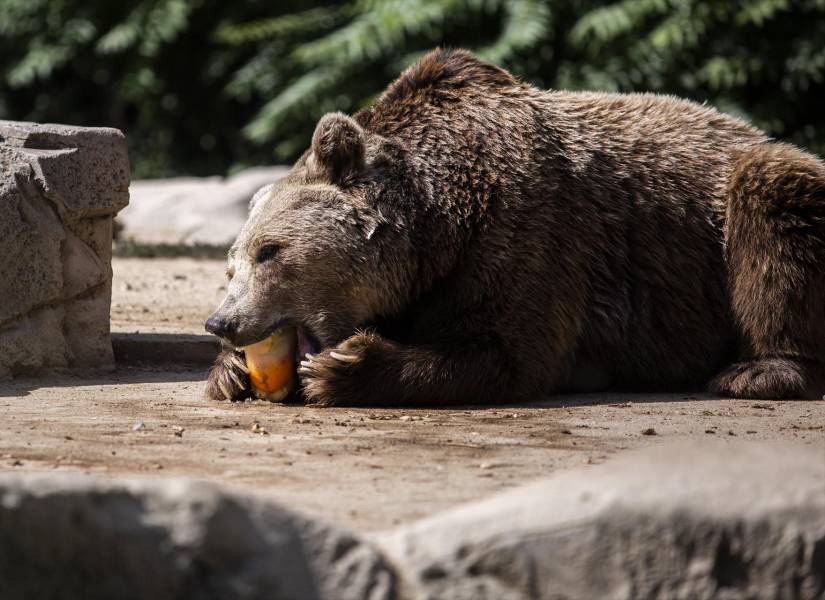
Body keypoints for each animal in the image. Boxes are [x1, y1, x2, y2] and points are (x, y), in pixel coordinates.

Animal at [205, 48, 825, 406]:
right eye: (231, 265)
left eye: (270, 251)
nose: (222, 322)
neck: (441, 226)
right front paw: (230, 371)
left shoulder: (524, 227)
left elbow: (509, 350)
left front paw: (345, 367)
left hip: (744, 204)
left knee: (773, 216)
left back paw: (755, 371)